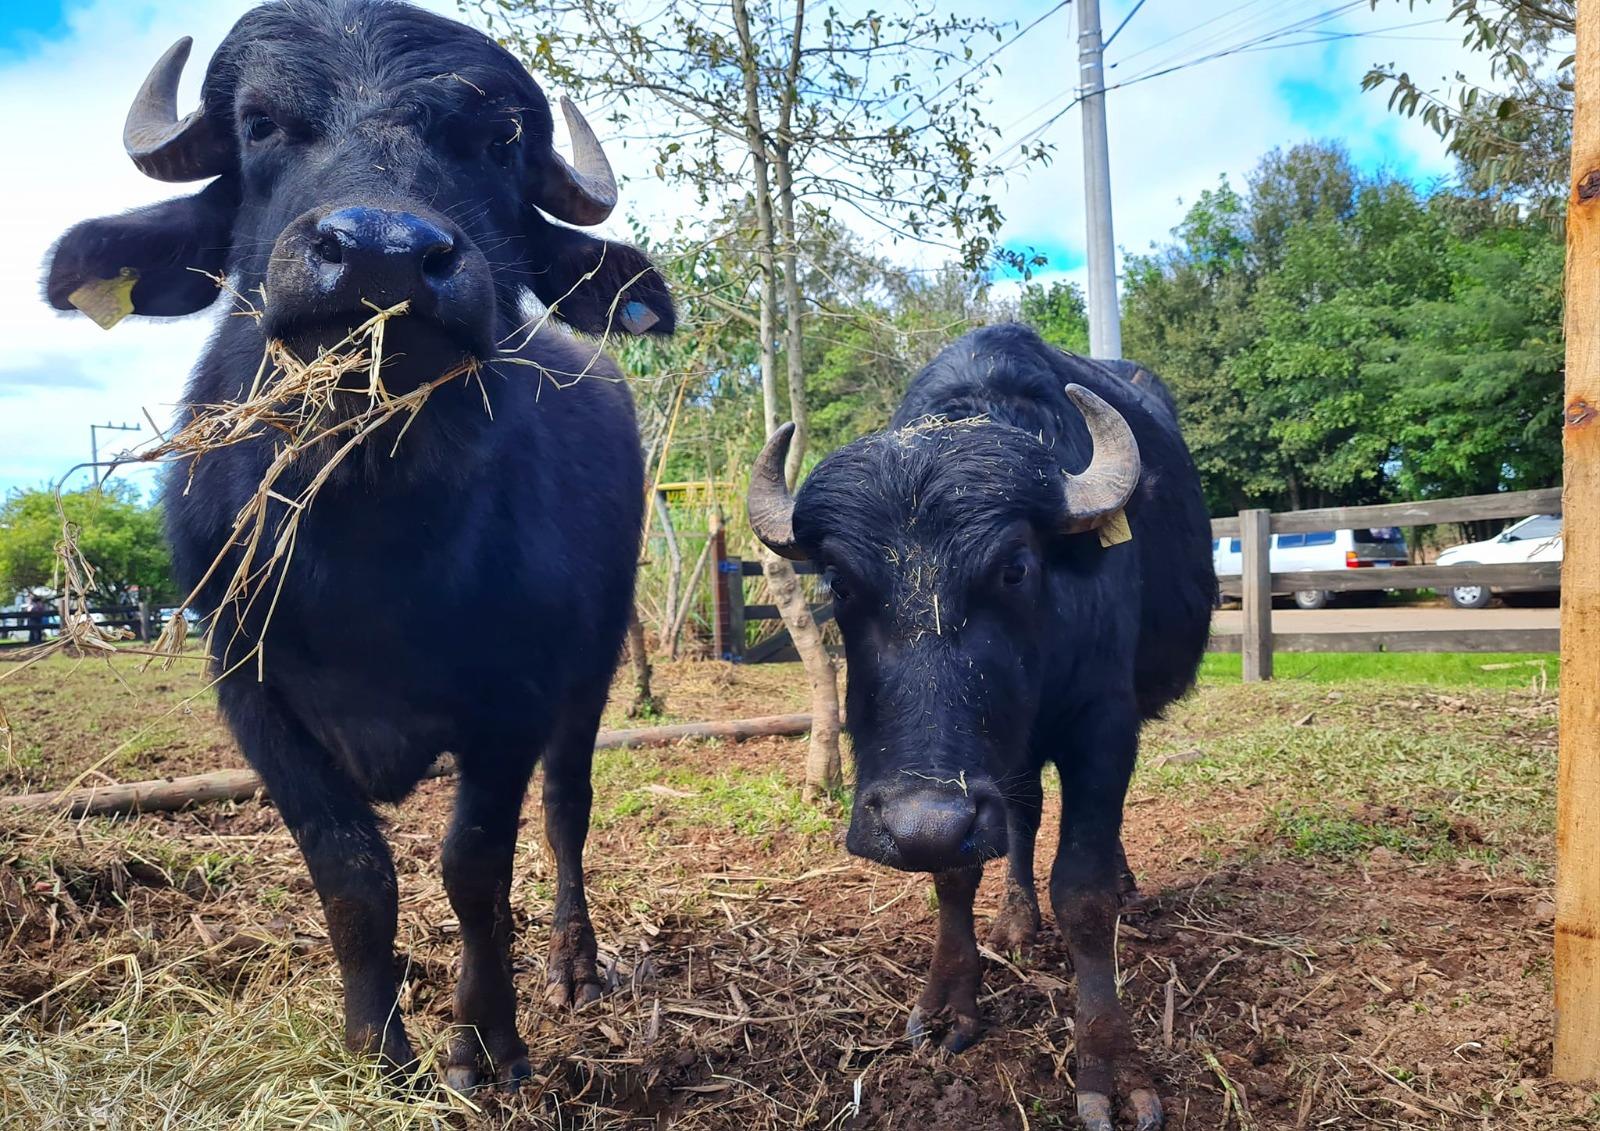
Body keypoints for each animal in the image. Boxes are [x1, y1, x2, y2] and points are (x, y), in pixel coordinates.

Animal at [748, 323, 1209, 1126]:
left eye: (1016, 567)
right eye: (839, 581)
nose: (921, 821)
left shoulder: (1104, 724)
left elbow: (1083, 889)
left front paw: (1111, 1064)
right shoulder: (963, 788)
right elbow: (955, 869)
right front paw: (948, 1003)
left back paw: (1121, 885)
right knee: (1022, 815)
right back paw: (1017, 918)